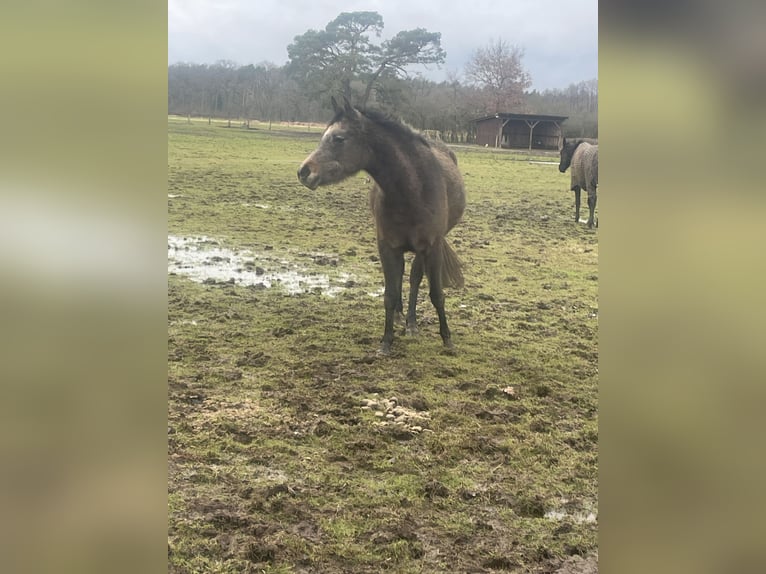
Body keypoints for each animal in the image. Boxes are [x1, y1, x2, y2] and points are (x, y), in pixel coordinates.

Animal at [300, 96, 468, 354]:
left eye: (339, 138)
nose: (304, 171)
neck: (412, 190)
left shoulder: (432, 247)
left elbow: (436, 294)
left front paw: (447, 340)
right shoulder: (387, 246)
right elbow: (389, 293)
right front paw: (386, 341)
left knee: (415, 277)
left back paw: (411, 324)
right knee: (401, 277)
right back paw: (400, 319)